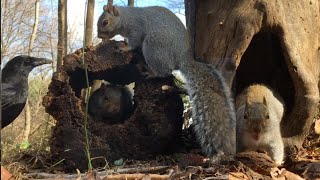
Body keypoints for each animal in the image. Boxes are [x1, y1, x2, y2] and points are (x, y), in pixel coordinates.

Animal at [97, 2, 238, 158]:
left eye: (105, 22)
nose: (98, 36)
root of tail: (183, 58)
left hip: (154, 45)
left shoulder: (136, 29)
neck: (126, 17)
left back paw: (151, 72)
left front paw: (124, 47)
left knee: (164, 71)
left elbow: (134, 42)